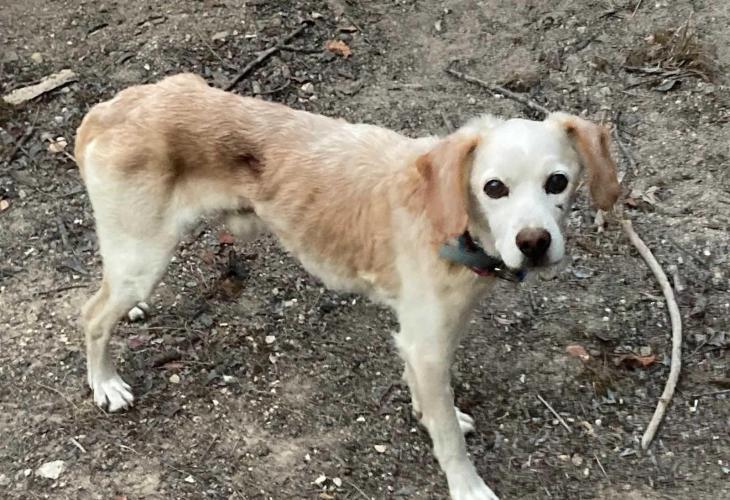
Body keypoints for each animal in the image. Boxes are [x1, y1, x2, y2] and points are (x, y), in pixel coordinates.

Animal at [75, 73, 619, 499]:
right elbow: (449, 439)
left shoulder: (423, 338)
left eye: (557, 182)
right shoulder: (427, 344)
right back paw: (106, 384)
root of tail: (111, 109)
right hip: (142, 258)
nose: (534, 243)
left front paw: (426, 412)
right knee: (92, 316)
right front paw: (467, 486)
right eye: (494, 188)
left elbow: (428, 397)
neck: (454, 224)